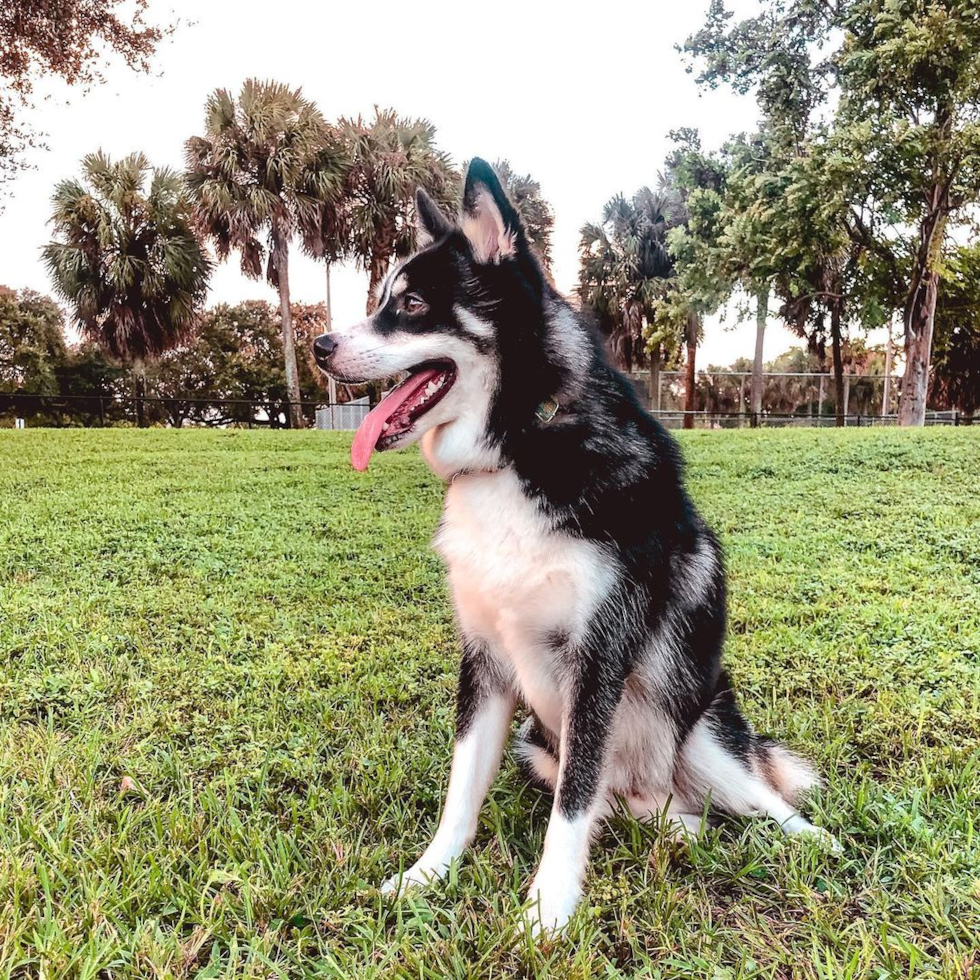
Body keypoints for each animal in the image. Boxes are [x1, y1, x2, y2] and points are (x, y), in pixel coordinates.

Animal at [312, 159, 836, 936]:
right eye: (382, 301)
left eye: (409, 304)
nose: (320, 347)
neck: (517, 444)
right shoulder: (485, 658)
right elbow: (461, 793)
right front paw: (426, 875)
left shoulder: (598, 659)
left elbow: (573, 805)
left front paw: (546, 912)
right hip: (538, 742)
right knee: (650, 810)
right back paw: (672, 829)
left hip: (702, 732)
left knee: (754, 800)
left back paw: (815, 840)